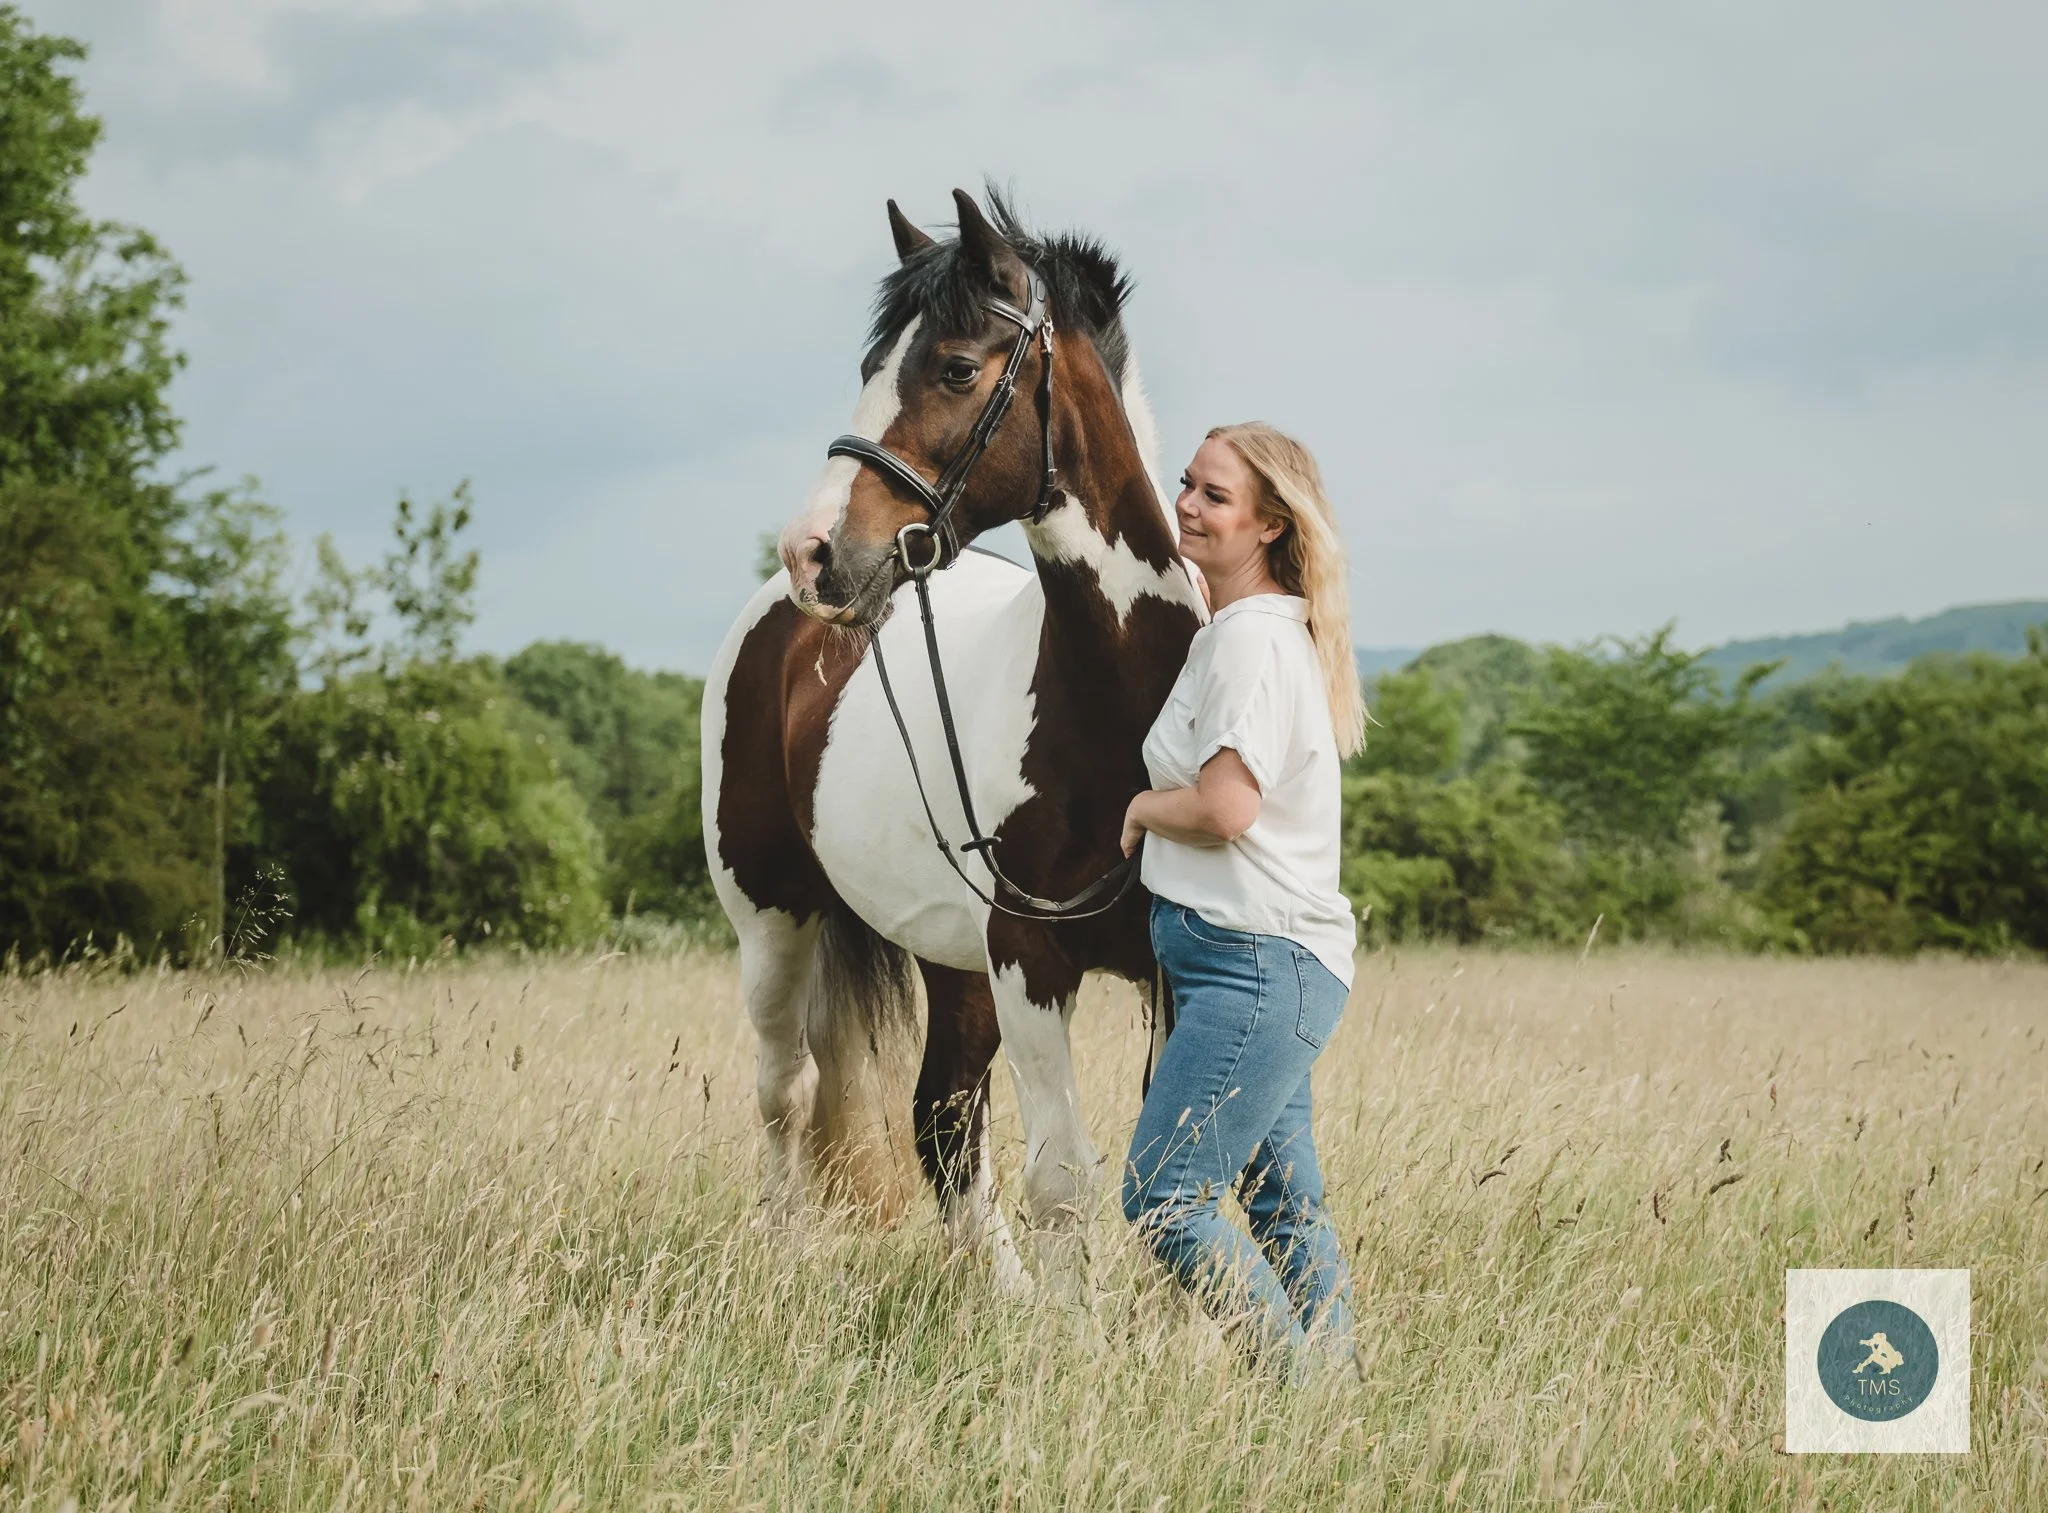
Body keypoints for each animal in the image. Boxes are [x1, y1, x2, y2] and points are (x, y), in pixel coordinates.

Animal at [701, 187, 1206, 1294]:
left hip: (951, 960)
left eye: (957, 368)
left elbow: (1179, 1160)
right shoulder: (1029, 959)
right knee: (785, 1091)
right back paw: (784, 1260)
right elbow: (1062, 1181)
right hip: (776, 925)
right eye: (868, 365)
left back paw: (1001, 1296)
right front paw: (1073, 1332)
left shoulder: (1176, 968)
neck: (1116, 714)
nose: (813, 552)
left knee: (941, 1118)